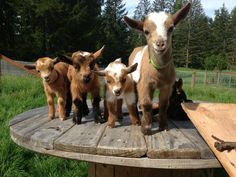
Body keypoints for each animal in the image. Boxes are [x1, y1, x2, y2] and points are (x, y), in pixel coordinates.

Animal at [124, 2, 191, 134]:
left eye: (171, 28)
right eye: (146, 31)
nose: (160, 44)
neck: (158, 71)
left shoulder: (167, 85)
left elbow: (164, 104)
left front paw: (163, 126)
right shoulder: (143, 83)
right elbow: (146, 103)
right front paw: (145, 128)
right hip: (132, 78)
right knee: (135, 99)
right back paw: (137, 121)